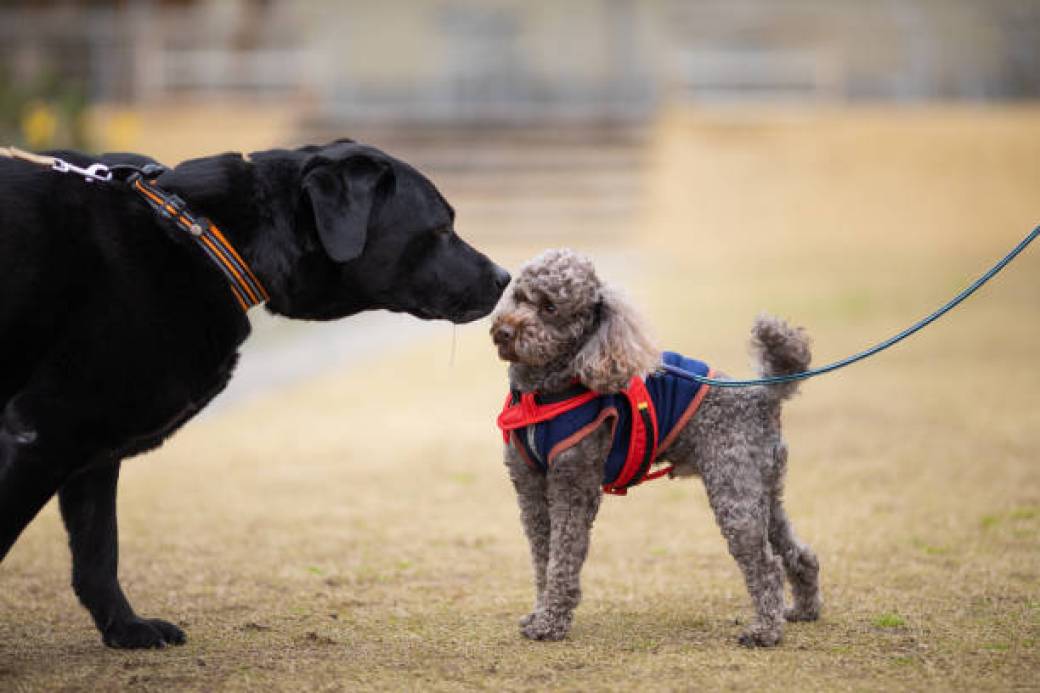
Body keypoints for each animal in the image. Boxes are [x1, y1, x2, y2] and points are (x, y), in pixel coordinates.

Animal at [0, 140, 509, 649]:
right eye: (441, 229)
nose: (505, 277)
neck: (203, 238)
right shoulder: (46, 430)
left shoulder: (93, 445)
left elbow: (98, 551)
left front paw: (126, 629)